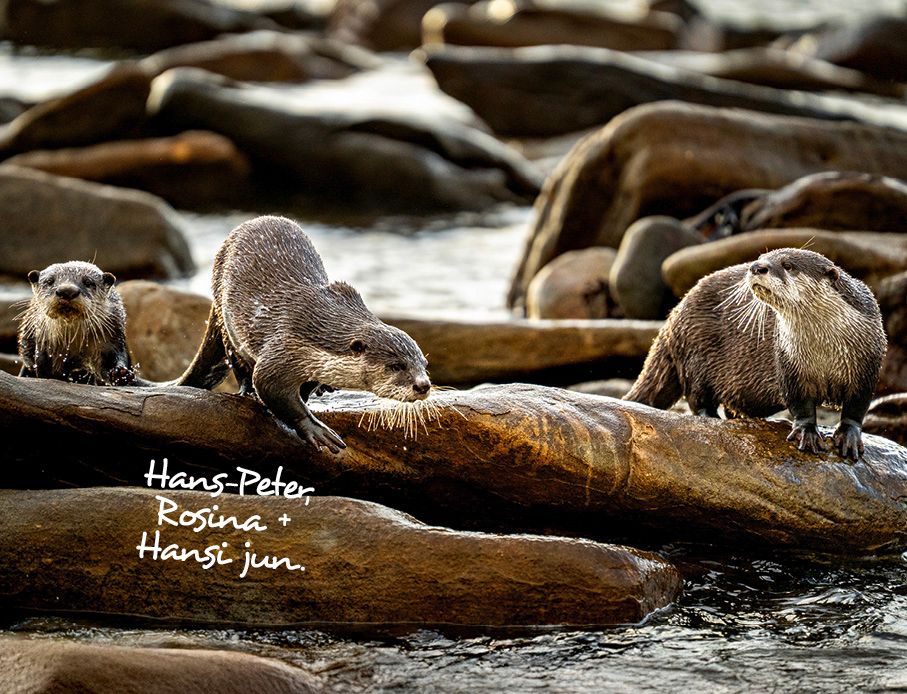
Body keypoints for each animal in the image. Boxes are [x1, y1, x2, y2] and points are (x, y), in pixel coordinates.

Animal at [178, 215, 431, 454]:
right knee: (236, 359)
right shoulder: (283, 347)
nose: (423, 385)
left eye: (424, 365)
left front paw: (311, 394)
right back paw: (247, 389)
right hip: (227, 319)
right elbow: (269, 384)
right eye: (396, 366)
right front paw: (315, 428)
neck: (314, 331)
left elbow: (307, 385)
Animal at [624, 248, 886, 460]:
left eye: (788, 265)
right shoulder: (788, 363)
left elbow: (857, 406)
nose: (757, 267)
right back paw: (711, 417)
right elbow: (800, 404)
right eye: (761, 257)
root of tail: (674, 314)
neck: (824, 352)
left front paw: (849, 437)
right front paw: (807, 432)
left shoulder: (867, 364)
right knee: (697, 397)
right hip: (695, 351)